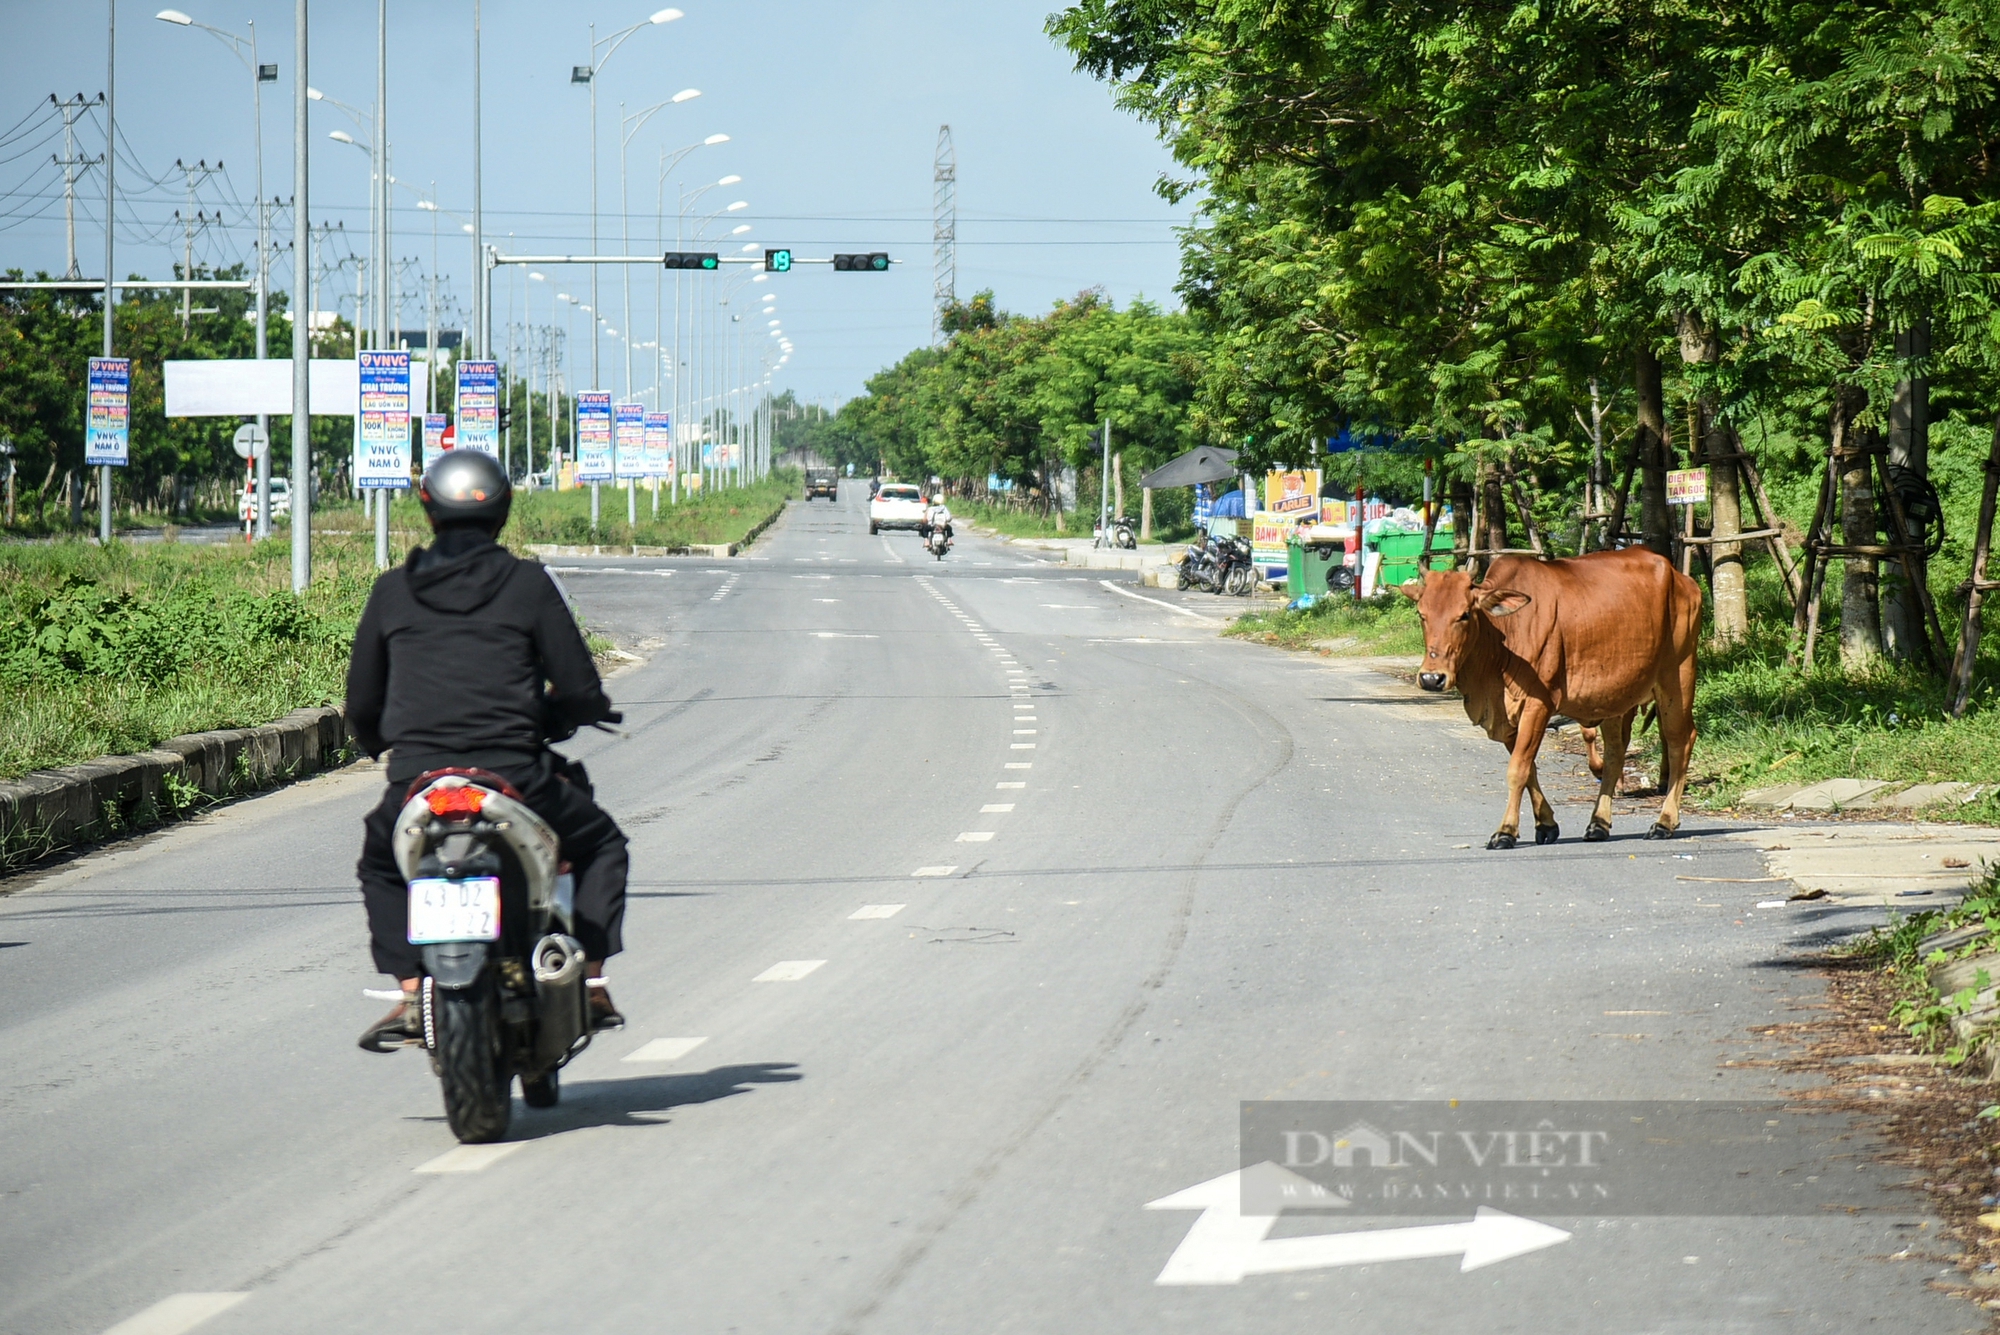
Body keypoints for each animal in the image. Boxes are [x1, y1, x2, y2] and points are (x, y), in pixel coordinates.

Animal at [1400, 547, 1696, 851]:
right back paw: (1598, 824)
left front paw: (1506, 831)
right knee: (1615, 751)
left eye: (1465, 614)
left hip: (1677, 678)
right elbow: (1529, 769)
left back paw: (1664, 822)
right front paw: (1546, 824)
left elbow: (1517, 769)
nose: (1432, 678)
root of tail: (1681, 578)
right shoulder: (1508, 719)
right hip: (1616, 696)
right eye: (1422, 614)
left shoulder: (1537, 705)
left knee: (1680, 741)